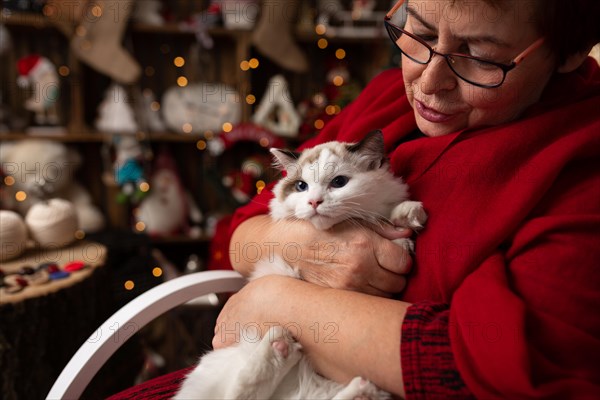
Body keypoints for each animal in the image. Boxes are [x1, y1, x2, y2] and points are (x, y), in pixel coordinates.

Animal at [173, 130, 426, 398]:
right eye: (301, 186)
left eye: (339, 182)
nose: (314, 202)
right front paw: (405, 230)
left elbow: (391, 217)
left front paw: (409, 215)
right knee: (238, 392)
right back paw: (279, 345)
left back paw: (358, 388)